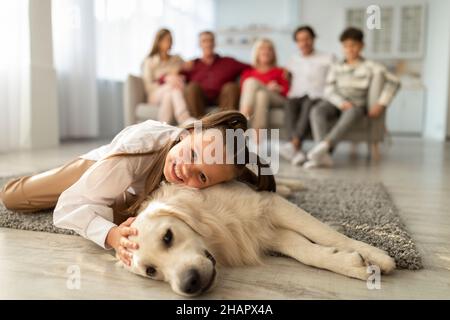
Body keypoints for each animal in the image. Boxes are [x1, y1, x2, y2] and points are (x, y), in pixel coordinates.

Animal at [120, 181, 398, 296]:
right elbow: (306, 250)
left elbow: (323, 232)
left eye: (167, 237)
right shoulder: (263, 232)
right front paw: (350, 263)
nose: (190, 283)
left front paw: (376, 256)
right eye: (151, 271)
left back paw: (292, 185)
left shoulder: (268, 205)